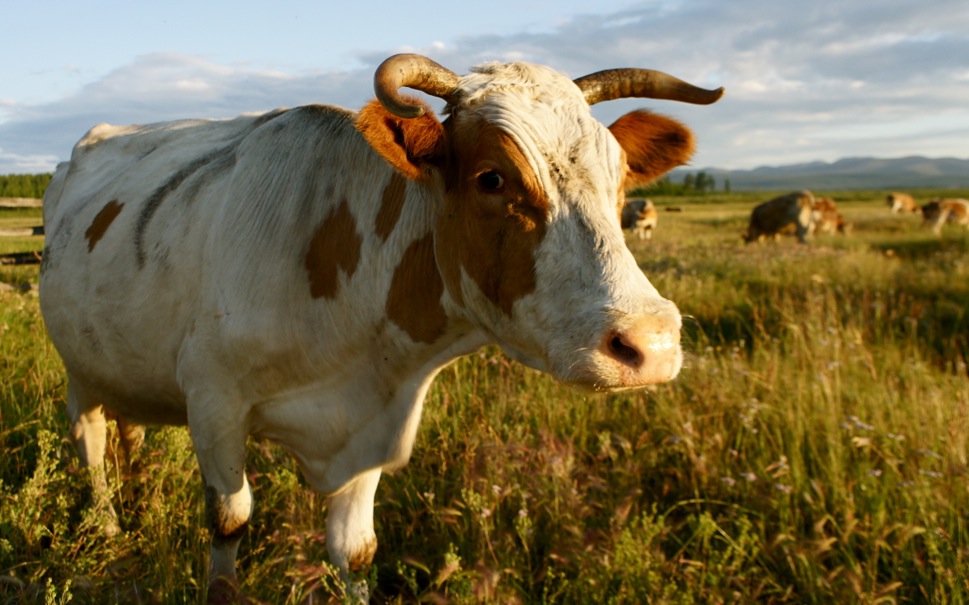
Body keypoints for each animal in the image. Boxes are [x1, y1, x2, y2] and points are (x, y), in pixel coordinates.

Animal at [36, 54, 720, 600]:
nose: (650, 343)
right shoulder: (214, 405)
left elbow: (356, 553)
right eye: (491, 177)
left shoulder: (371, 431)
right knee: (91, 444)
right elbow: (229, 530)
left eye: (620, 178)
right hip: (77, 370)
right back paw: (109, 527)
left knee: (129, 434)